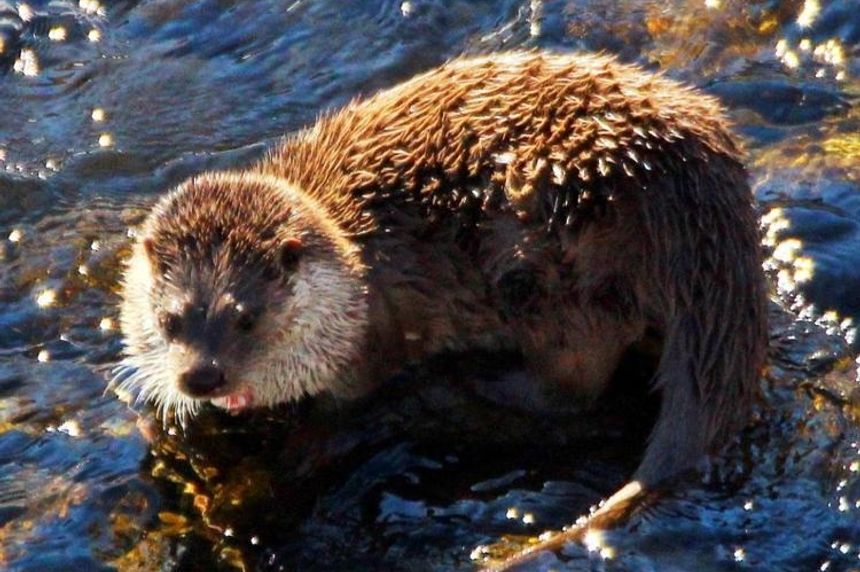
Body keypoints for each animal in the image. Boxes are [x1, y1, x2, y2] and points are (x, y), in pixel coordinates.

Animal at [114, 52, 764, 568]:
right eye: (170, 320)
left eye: (247, 316)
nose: (202, 376)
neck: (354, 273)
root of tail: (692, 191)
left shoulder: (369, 345)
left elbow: (340, 411)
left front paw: (305, 444)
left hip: (548, 262)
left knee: (576, 377)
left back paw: (462, 382)